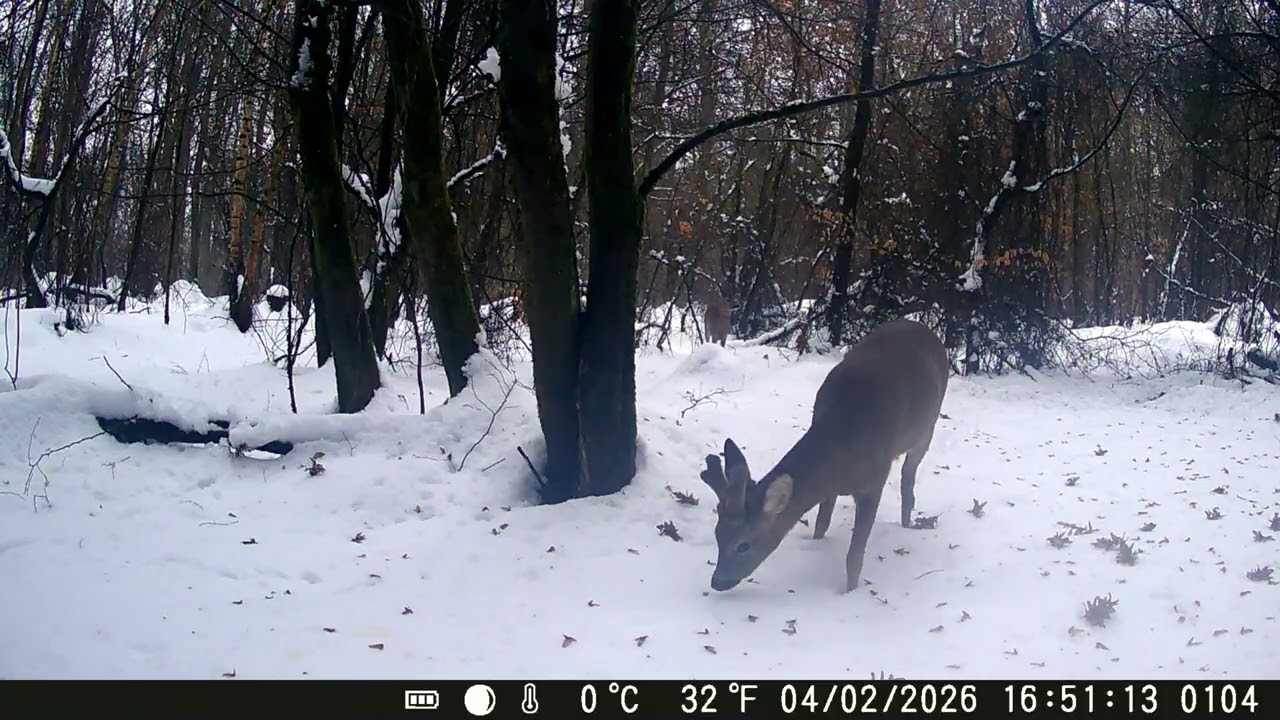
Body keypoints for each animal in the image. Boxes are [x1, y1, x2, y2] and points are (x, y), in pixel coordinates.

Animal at [697, 318, 949, 594]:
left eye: (744, 545)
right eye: (717, 534)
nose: (717, 581)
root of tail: (922, 327)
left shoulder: (874, 482)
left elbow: (854, 557)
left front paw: (849, 591)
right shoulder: (830, 486)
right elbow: (821, 523)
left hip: (928, 427)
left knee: (908, 475)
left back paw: (906, 522)